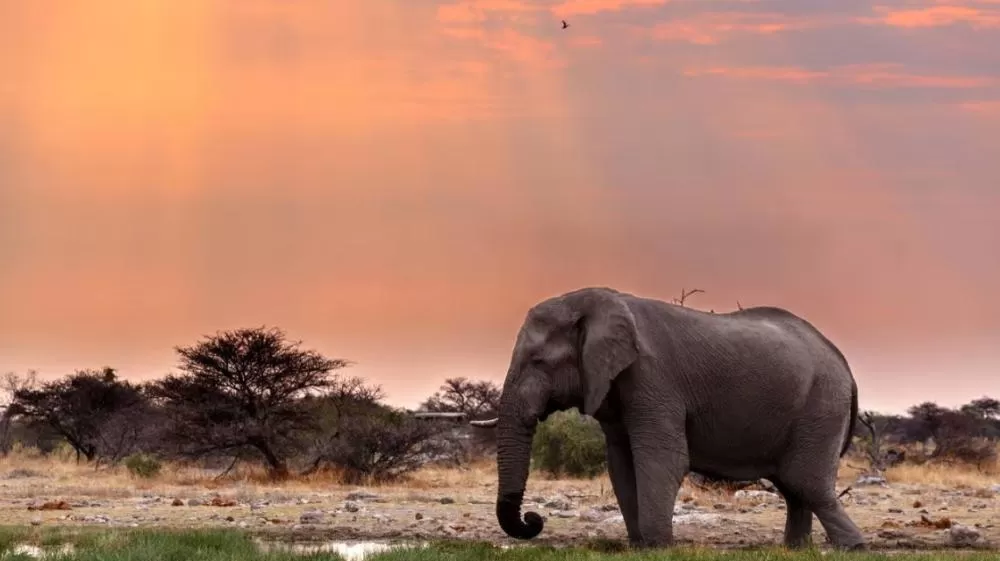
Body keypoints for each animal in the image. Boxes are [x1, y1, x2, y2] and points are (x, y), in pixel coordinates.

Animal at [470, 286, 865, 550]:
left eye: (538, 361)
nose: (533, 519)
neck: (592, 303)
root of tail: (844, 363)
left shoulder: (653, 377)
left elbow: (663, 460)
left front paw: (658, 546)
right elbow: (621, 464)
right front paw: (639, 546)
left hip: (821, 405)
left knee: (806, 481)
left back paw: (852, 547)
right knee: (793, 486)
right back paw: (795, 549)